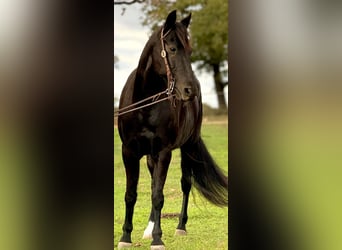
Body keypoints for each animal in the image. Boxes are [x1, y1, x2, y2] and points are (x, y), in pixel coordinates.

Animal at [117, 9, 227, 248]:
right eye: (173, 49)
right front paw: (126, 238)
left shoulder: (164, 152)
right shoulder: (129, 151)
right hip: (151, 156)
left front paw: (158, 239)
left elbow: (158, 196)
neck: (144, 105)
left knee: (185, 184)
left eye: (191, 50)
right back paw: (149, 228)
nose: (189, 90)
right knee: (152, 184)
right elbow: (131, 194)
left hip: (188, 146)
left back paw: (180, 227)